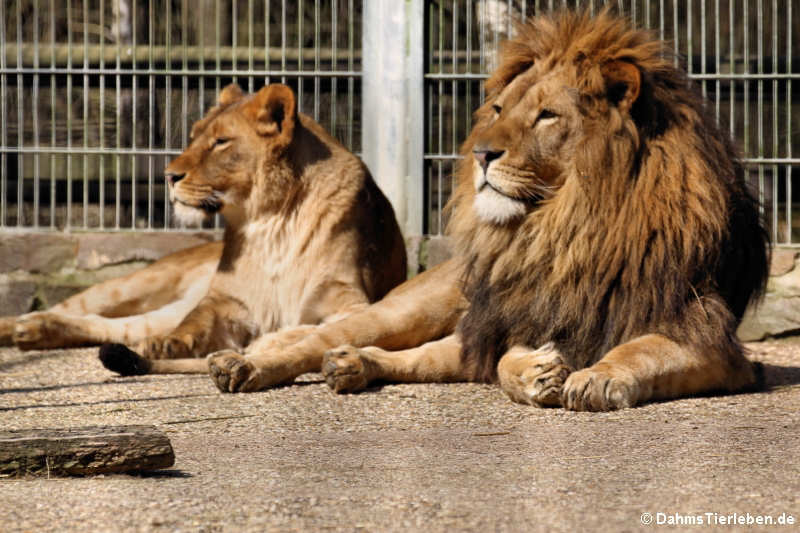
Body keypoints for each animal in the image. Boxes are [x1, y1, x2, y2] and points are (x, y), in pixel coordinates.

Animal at [87, 83, 406, 374]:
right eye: (193, 137)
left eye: (221, 142)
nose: (168, 176)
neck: (272, 220)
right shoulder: (228, 301)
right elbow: (195, 320)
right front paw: (164, 343)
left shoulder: (353, 302)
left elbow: (316, 329)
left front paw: (266, 344)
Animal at [194, 9, 768, 412]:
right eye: (497, 110)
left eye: (546, 116)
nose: (481, 154)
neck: (569, 225)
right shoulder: (511, 321)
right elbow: (510, 361)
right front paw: (538, 373)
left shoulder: (710, 339)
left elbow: (642, 349)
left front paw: (599, 375)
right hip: (409, 310)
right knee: (318, 337)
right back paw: (241, 366)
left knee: (409, 358)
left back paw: (353, 367)